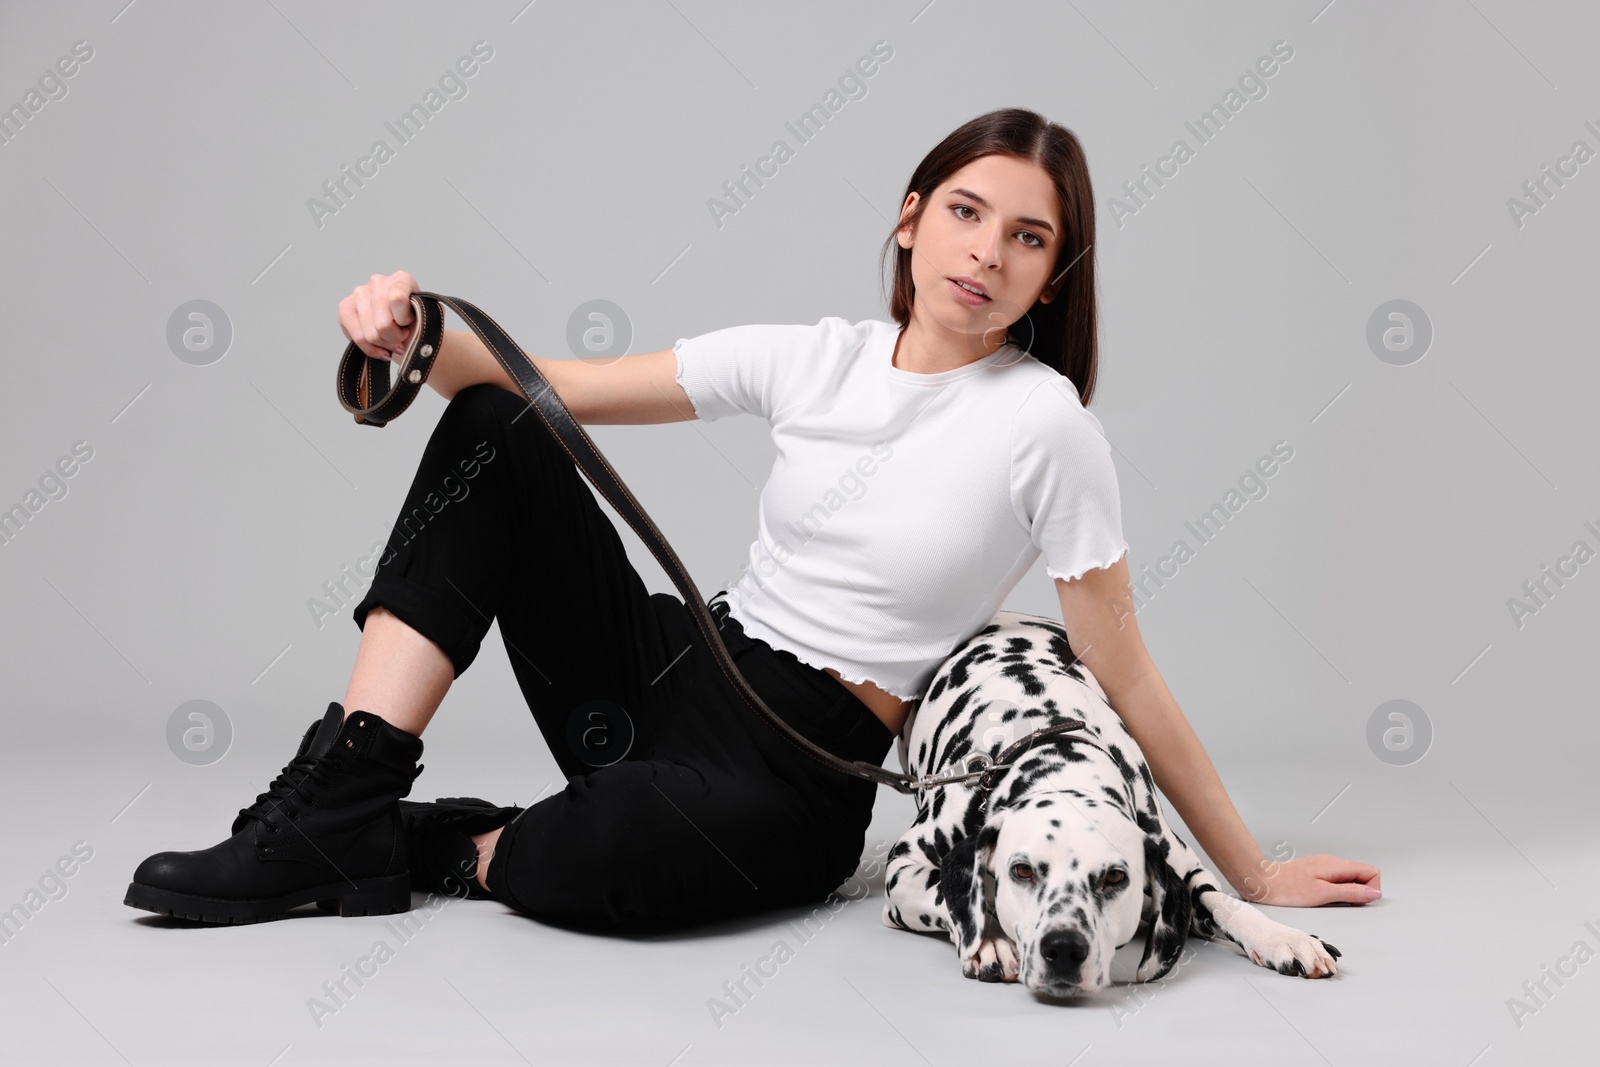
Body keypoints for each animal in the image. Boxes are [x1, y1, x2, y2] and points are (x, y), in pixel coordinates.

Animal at [883, 614, 1344, 998]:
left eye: (1114, 878)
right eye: (1023, 871)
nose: (1063, 949)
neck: (1051, 738)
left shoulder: (1182, 867)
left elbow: (1226, 904)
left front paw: (1283, 937)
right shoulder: (902, 869)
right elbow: (947, 892)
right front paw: (991, 941)